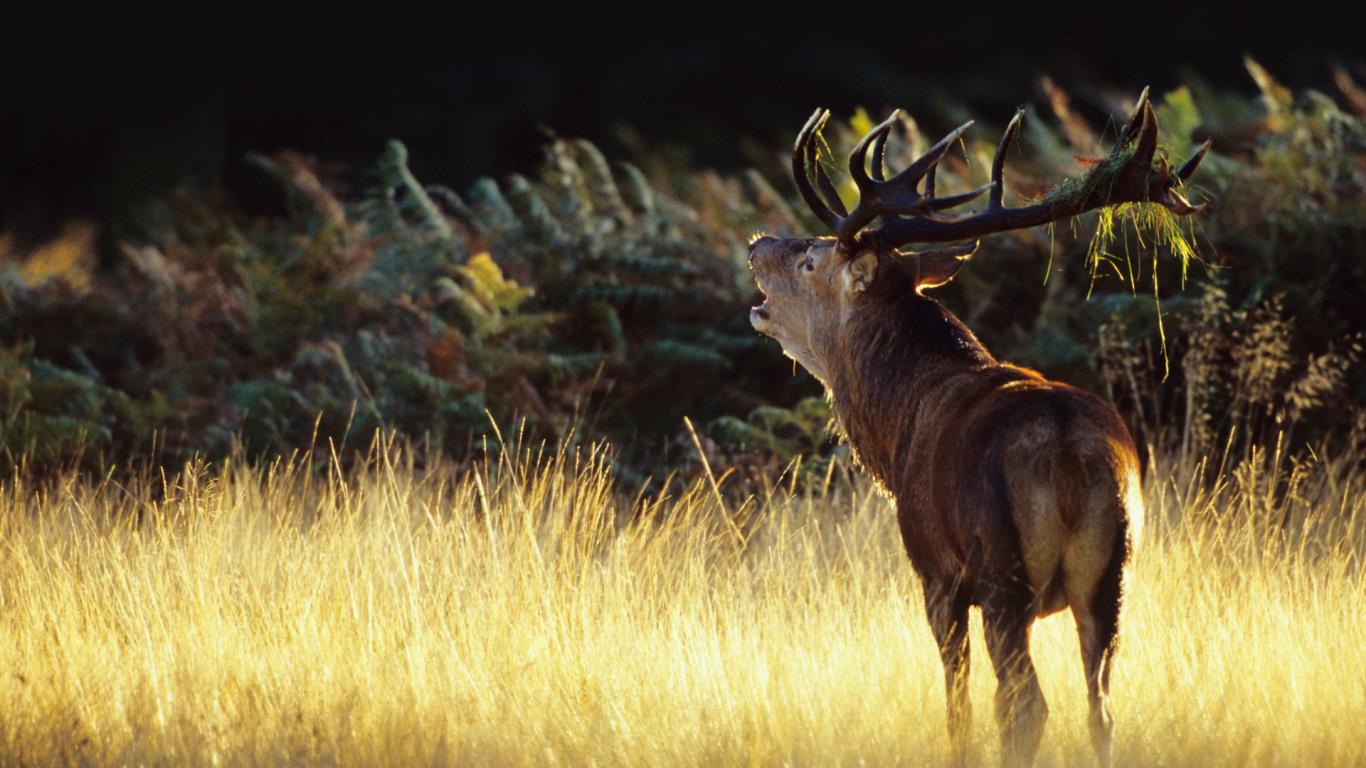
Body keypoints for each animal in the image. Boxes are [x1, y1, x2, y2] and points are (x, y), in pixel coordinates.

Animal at [748, 90, 1207, 765]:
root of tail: (1070, 456)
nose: (757, 245)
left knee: (1024, 705)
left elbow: (956, 702)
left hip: (1002, 571)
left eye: (810, 260)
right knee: (1101, 707)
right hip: (1114, 568)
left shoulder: (935, 570)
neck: (895, 429)